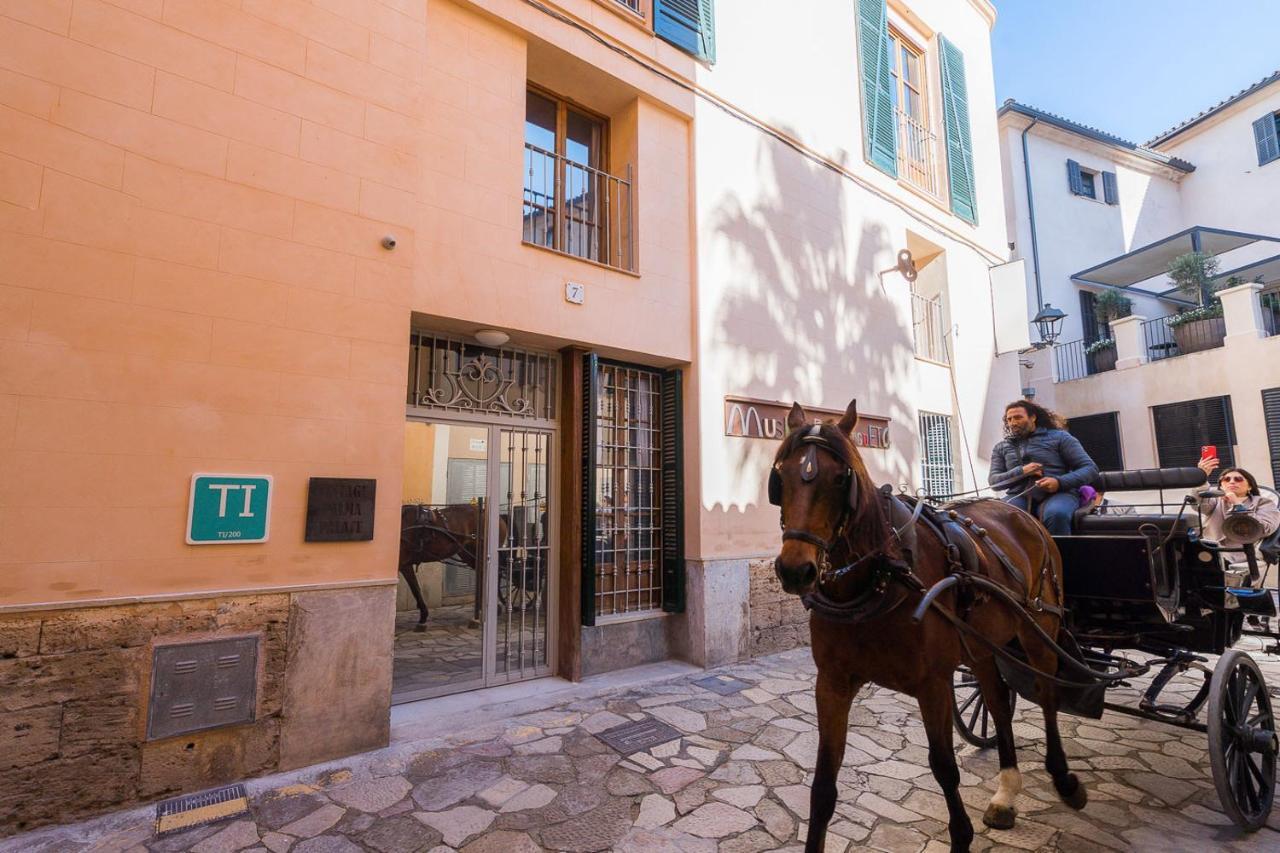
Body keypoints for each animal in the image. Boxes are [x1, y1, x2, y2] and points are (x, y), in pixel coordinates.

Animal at [773, 399, 1085, 850]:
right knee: (996, 701)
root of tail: (1022, 512)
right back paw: (1006, 791)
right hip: (983, 646)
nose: (795, 570)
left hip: (1039, 626)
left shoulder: (932, 683)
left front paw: (961, 834)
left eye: (839, 478)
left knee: (1046, 693)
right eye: (780, 476)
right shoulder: (831, 682)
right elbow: (823, 786)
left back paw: (1062, 778)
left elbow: (943, 766)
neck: (881, 575)